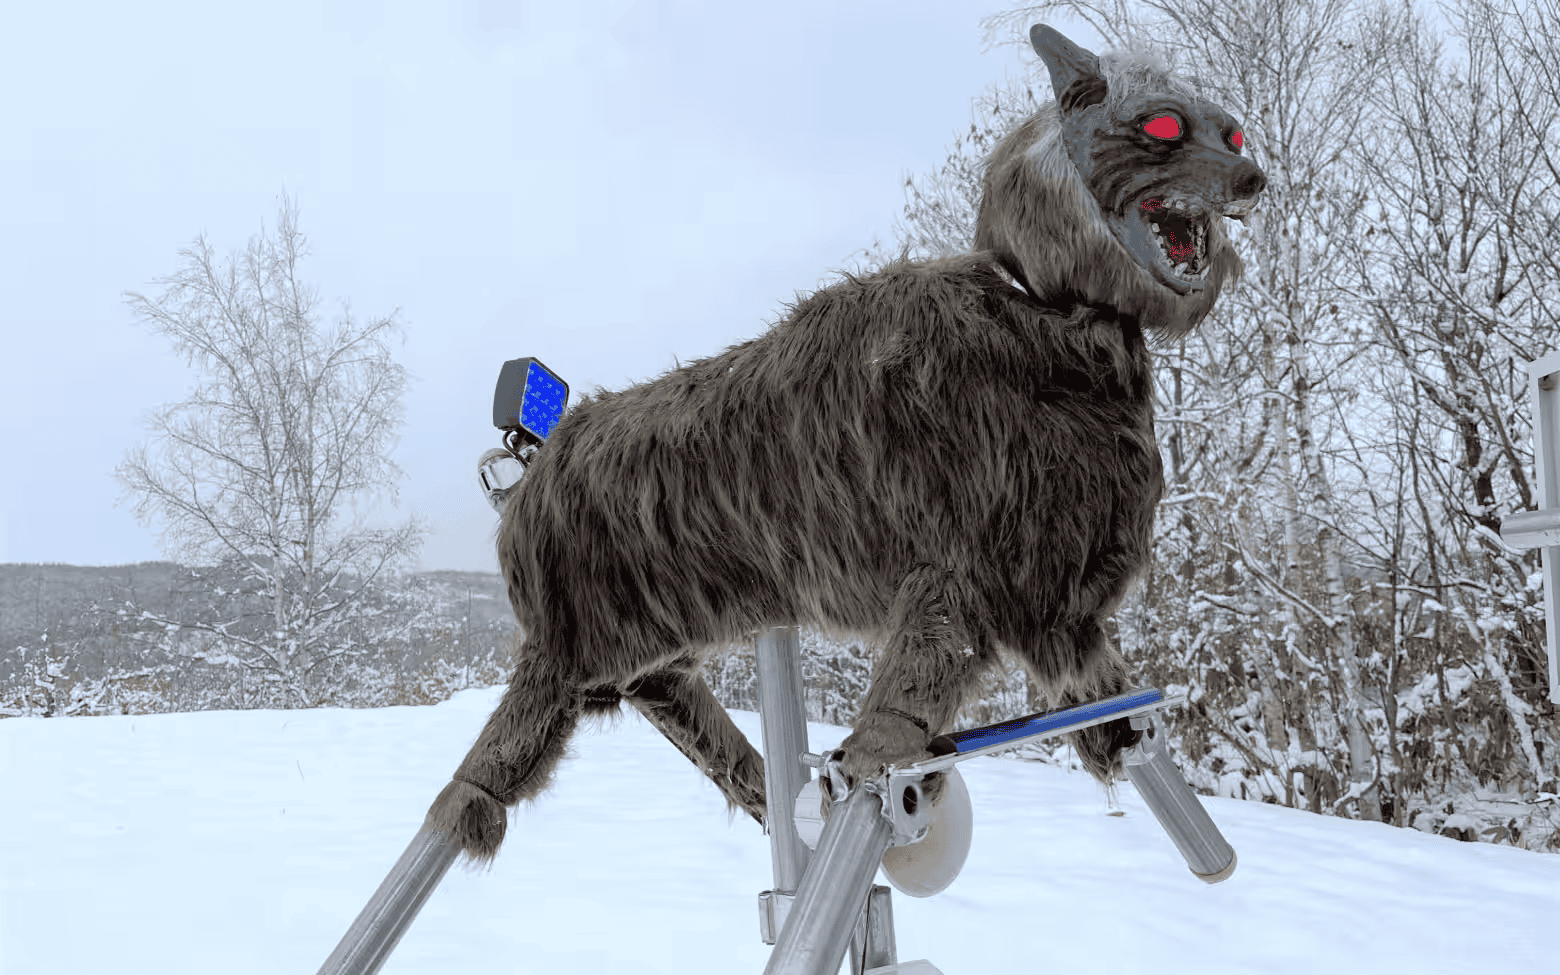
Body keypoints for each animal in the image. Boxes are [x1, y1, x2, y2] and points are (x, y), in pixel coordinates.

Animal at [426, 24, 1265, 863]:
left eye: (1231, 131)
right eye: (1163, 126)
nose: (1253, 176)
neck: (1054, 329)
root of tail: (527, 476)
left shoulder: (1055, 594)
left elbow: (1096, 680)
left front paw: (1124, 738)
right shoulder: (962, 566)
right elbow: (918, 681)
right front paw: (876, 758)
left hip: (652, 658)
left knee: (705, 731)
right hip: (567, 654)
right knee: (496, 760)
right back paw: (463, 804)